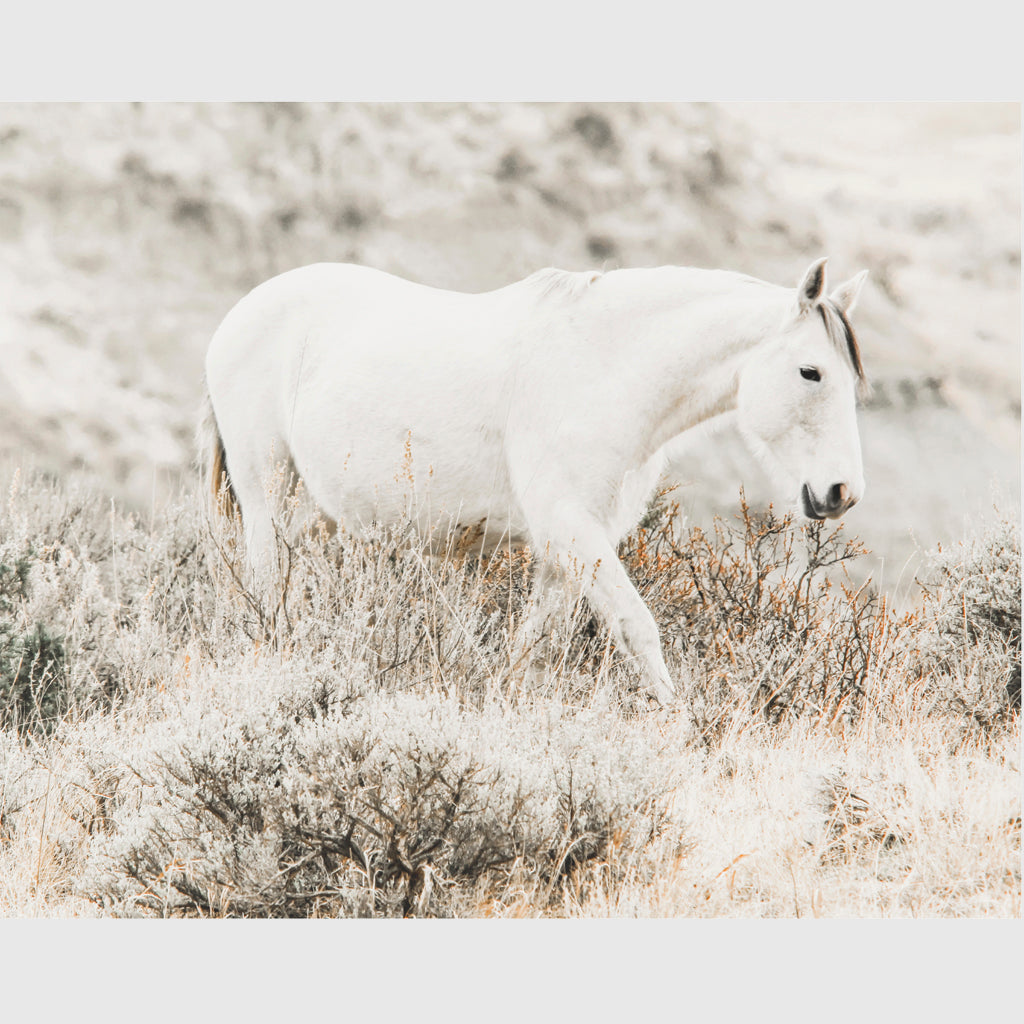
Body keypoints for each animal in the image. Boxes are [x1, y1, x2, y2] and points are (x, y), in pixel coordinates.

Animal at [200, 257, 869, 708]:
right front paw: (679, 728)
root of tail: (239, 315)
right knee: (265, 592)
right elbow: (638, 627)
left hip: (312, 516)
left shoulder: (567, 549)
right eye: (810, 372)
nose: (842, 493)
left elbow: (531, 649)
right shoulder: (571, 531)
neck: (606, 369)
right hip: (266, 499)